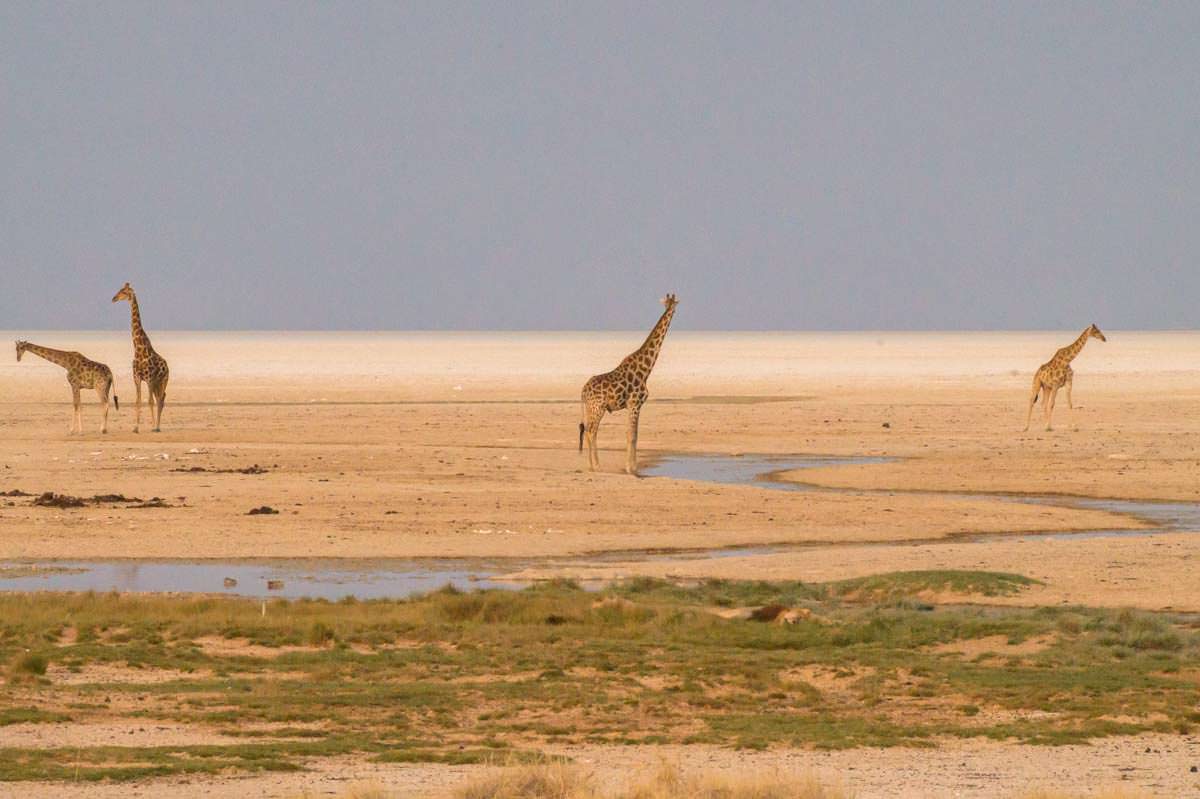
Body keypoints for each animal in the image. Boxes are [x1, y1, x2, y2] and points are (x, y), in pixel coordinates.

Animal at [112, 281, 171, 431]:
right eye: (119, 290)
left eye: (124, 292)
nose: (113, 298)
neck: (138, 348)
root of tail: (167, 366)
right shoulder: (137, 378)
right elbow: (137, 401)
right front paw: (136, 427)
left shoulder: (149, 378)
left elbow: (149, 401)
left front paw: (153, 426)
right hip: (156, 383)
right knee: (159, 398)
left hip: (163, 380)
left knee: (160, 399)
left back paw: (157, 426)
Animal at [578, 295, 676, 475]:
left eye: (670, 303)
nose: (670, 309)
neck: (646, 370)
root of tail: (583, 391)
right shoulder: (635, 403)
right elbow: (633, 435)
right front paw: (632, 469)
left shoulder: (632, 405)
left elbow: (630, 433)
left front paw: (631, 467)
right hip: (598, 407)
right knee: (591, 431)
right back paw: (596, 466)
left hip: (590, 408)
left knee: (588, 431)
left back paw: (591, 465)